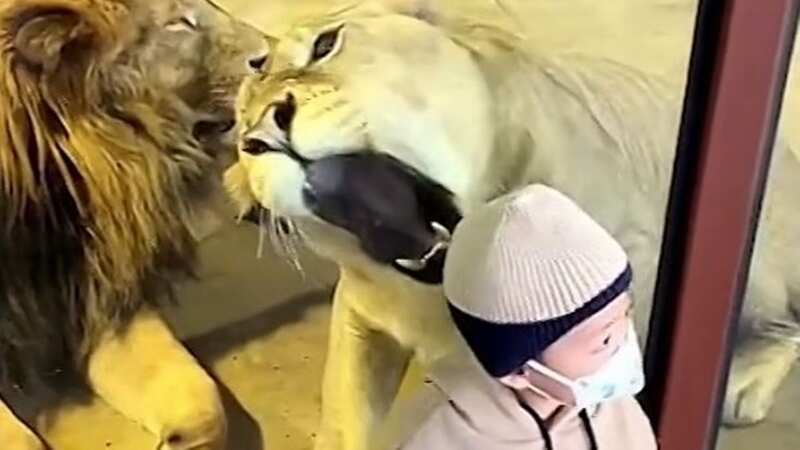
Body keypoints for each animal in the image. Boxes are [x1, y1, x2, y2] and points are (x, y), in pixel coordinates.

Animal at [223, 1, 800, 448]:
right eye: (241, 125)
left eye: (325, 45)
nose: (260, 136)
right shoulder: (361, 310)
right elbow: (346, 413)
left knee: (786, 321)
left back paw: (743, 384)